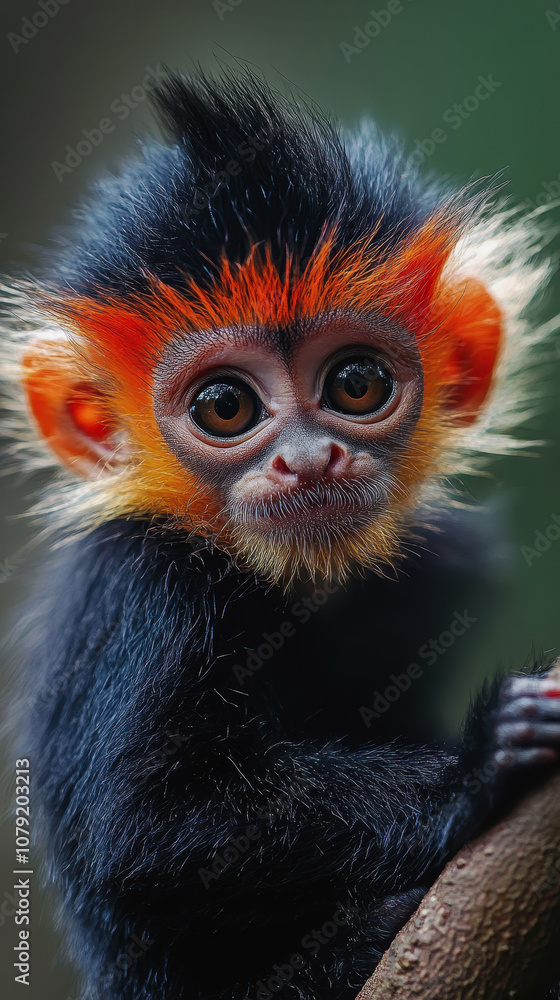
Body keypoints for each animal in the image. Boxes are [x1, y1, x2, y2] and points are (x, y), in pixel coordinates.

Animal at [2, 71, 560, 999]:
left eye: (357, 383)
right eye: (225, 406)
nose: (307, 460)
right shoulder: (140, 587)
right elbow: (143, 834)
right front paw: (479, 763)